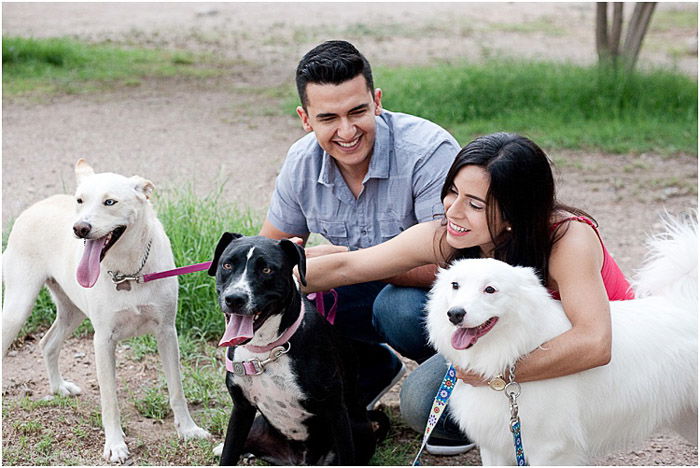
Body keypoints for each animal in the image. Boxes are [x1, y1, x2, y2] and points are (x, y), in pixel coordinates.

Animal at [2, 160, 211, 460]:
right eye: (80, 200)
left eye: (110, 202)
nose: (79, 228)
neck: (128, 271)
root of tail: (32, 207)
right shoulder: (103, 341)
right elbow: (110, 400)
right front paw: (115, 445)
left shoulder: (167, 333)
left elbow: (177, 389)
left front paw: (188, 429)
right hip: (18, 307)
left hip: (72, 312)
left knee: (47, 343)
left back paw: (59, 388)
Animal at [208, 234, 382, 464]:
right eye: (227, 265)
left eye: (267, 270)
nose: (235, 298)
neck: (266, 350)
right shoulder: (242, 409)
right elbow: (229, 453)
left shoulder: (336, 411)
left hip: (355, 429)